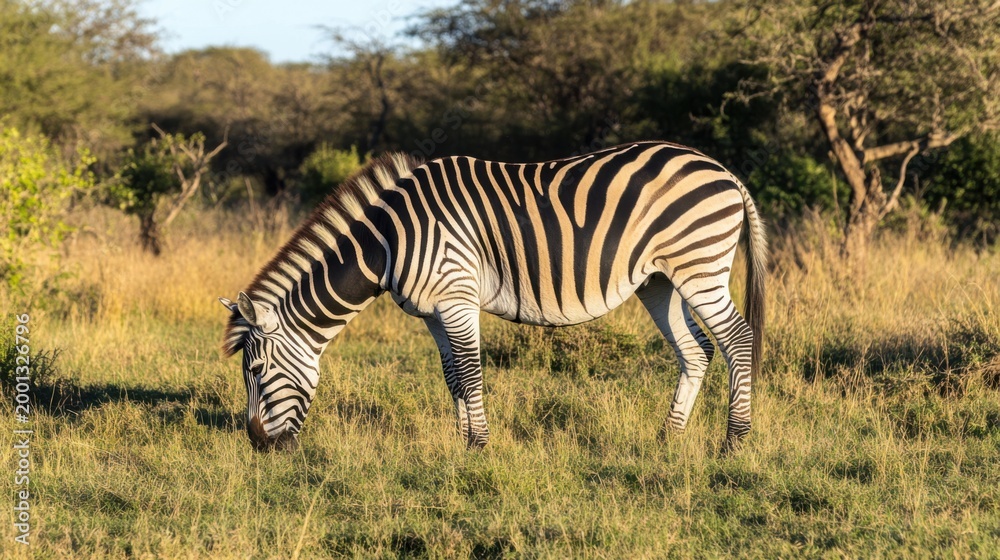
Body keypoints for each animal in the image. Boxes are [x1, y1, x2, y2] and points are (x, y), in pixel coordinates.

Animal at [219, 141, 766, 451]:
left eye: (257, 371)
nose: (258, 445)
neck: (388, 243)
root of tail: (722, 169)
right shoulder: (432, 311)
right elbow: (453, 375)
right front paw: (462, 441)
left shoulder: (456, 295)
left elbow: (471, 370)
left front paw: (479, 446)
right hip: (659, 279)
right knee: (696, 350)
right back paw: (668, 438)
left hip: (699, 265)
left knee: (738, 340)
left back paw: (734, 442)